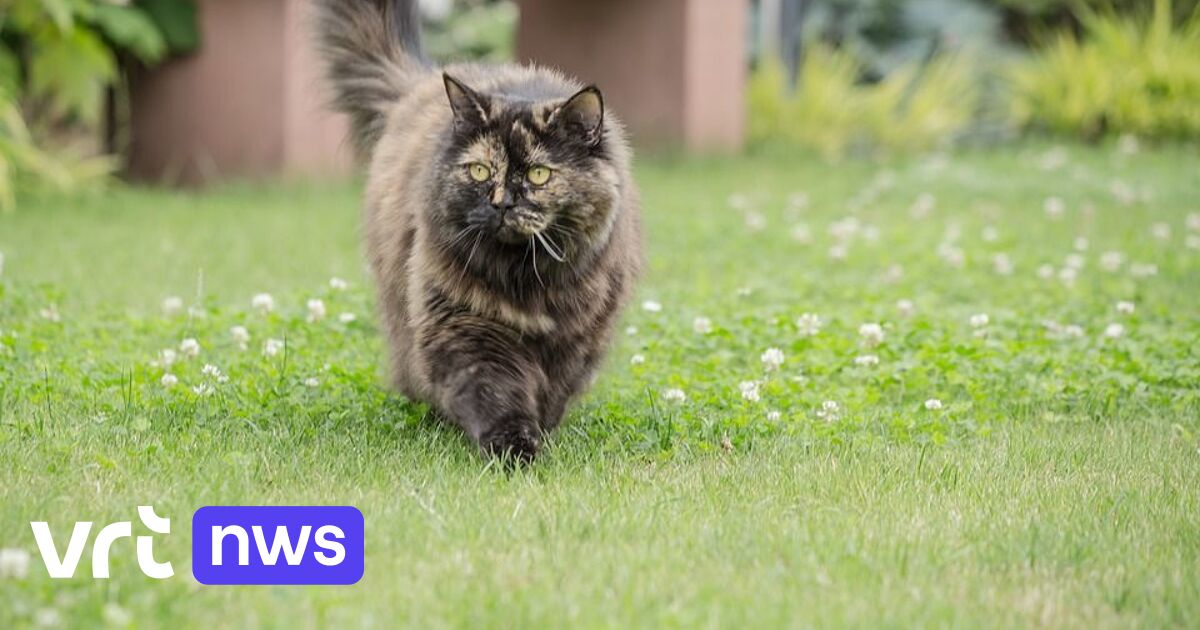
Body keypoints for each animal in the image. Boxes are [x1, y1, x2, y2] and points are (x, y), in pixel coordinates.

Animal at [314, 1, 643, 460]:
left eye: (539, 174)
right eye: (481, 170)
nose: (503, 202)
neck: (527, 279)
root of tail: (423, 83)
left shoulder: (576, 338)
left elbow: (553, 393)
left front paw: (541, 432)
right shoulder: (465, 326)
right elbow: (496, 390)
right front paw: (513, 445)